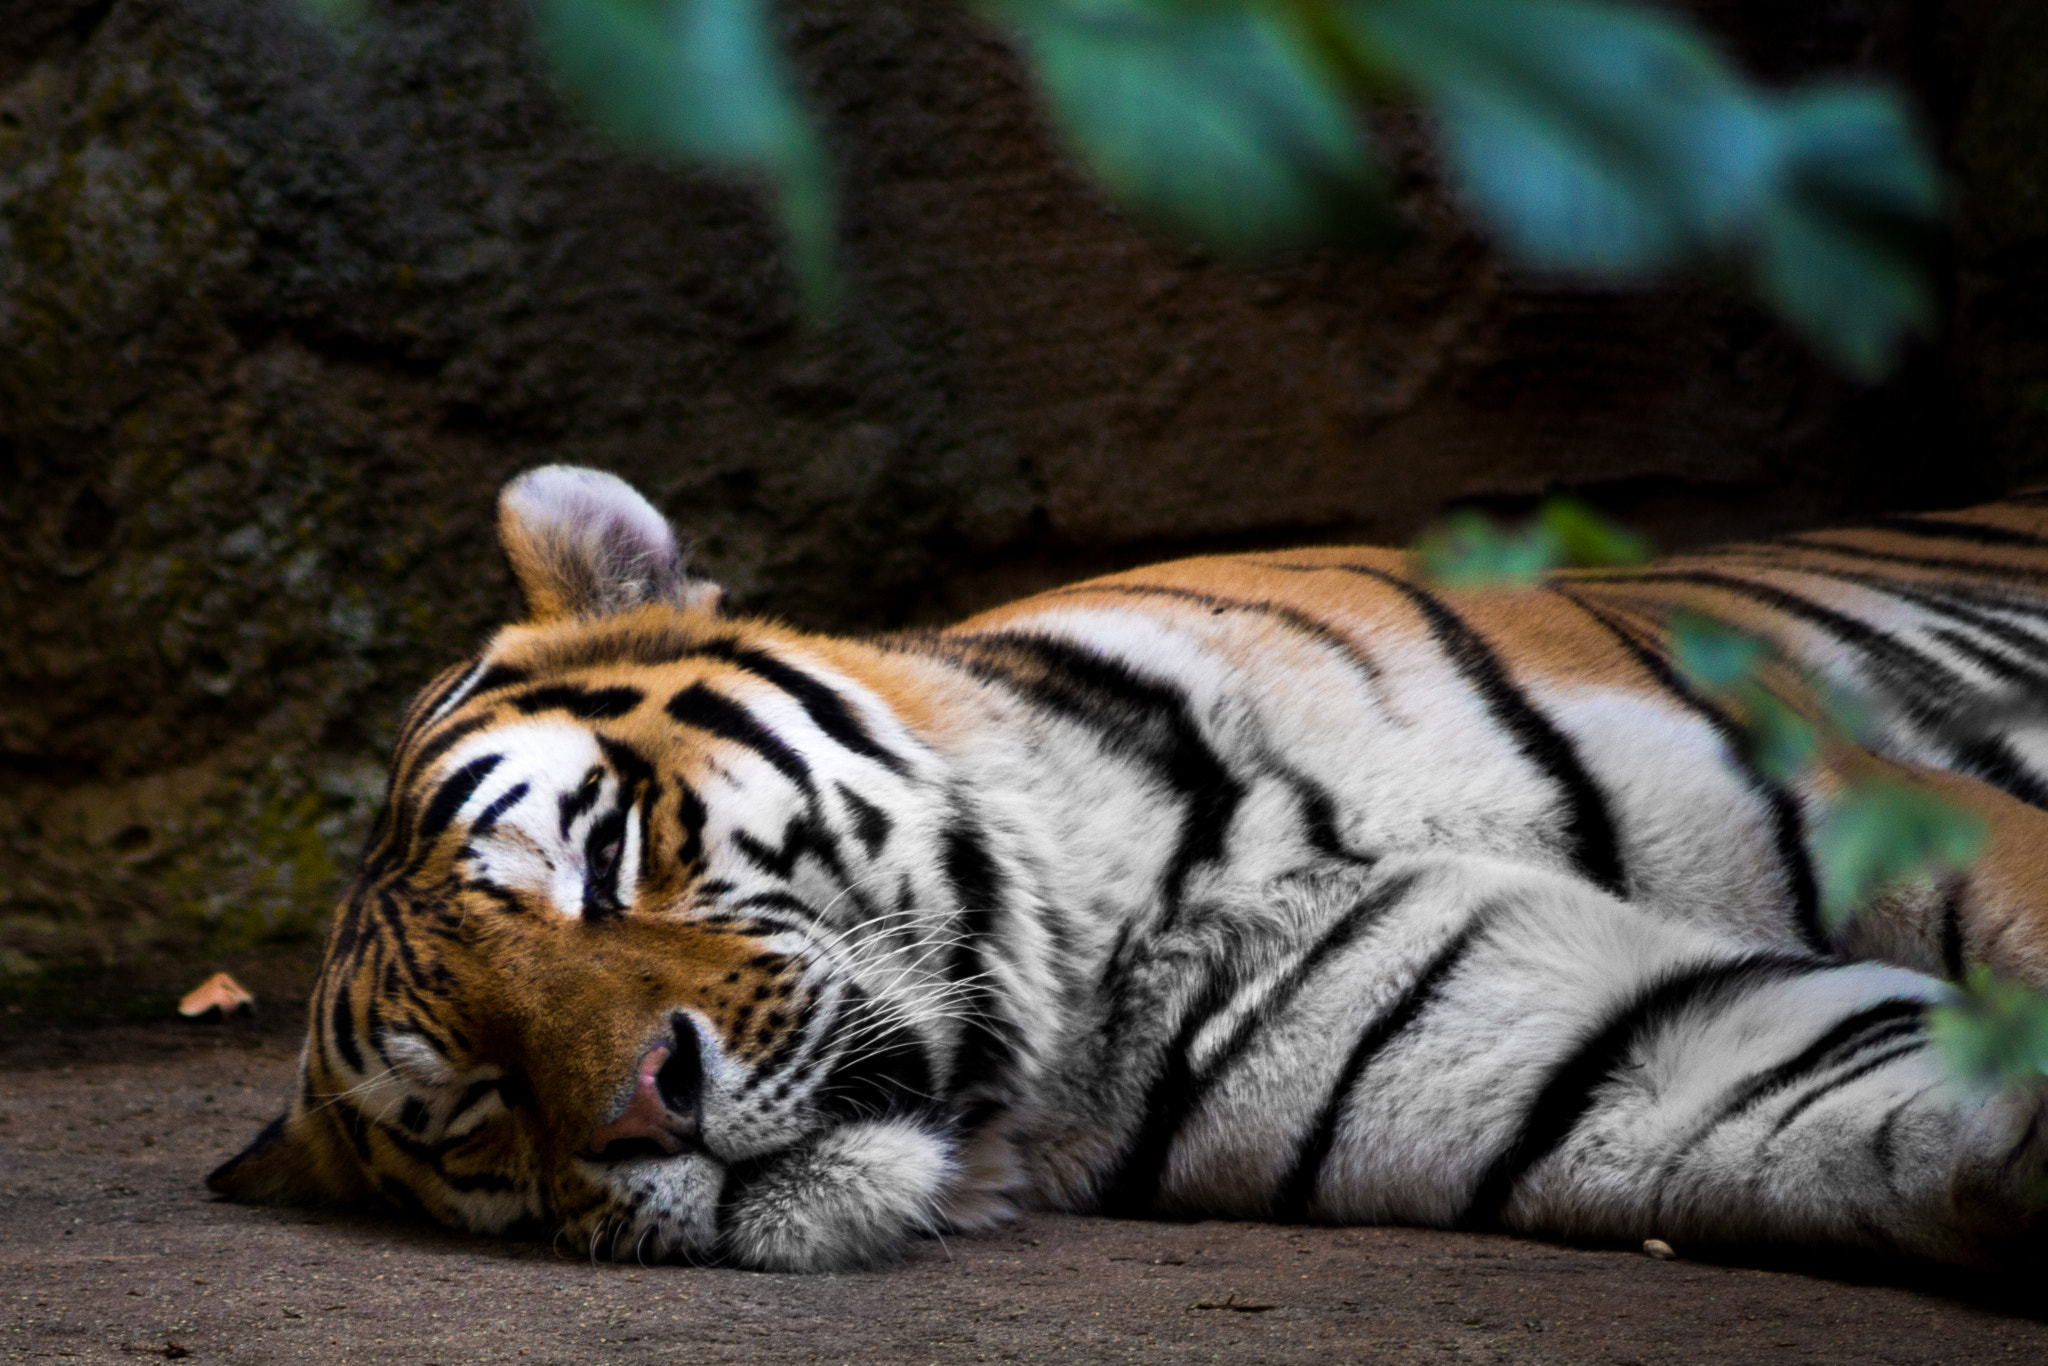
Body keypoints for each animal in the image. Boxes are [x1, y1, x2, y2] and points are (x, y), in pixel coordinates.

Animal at [210, 463, 2048, 1273]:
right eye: (472, 1103)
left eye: (599, 857)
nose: (647, 1106)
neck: (1119, 937)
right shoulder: (1602, 1056)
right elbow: (1892, 1107)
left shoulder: (1866, 798)